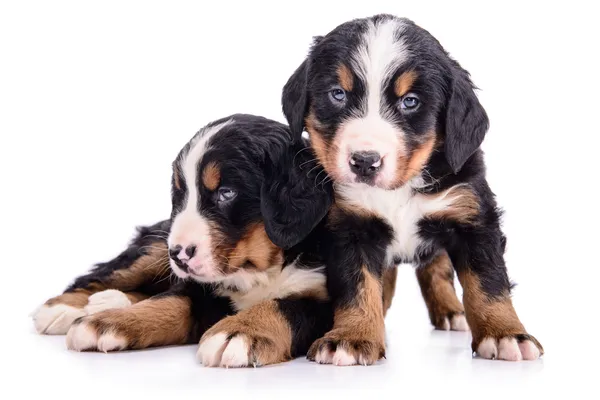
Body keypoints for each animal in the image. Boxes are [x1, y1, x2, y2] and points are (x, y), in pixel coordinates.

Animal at [30, 114, 336, 368]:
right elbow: (169, 302)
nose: (178, 254)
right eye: (181, 195)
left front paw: (240, 330)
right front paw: (107, 322)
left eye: (226, 193)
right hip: (154, 247)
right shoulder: (200, 287)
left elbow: (284, 306)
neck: (261, 268)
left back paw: (107, 301)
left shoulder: (325, 301)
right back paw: (67, 308)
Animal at [278, 14, 548, 366]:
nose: (365, 161)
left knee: (437, 268)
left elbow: (487, 282)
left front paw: (505, 334)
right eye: (337, 94)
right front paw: (353, 336)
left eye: (410, 102)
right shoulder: (350, 225)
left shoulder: (472, 214)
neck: (400, 189)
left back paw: (451, 311)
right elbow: (358, 286)